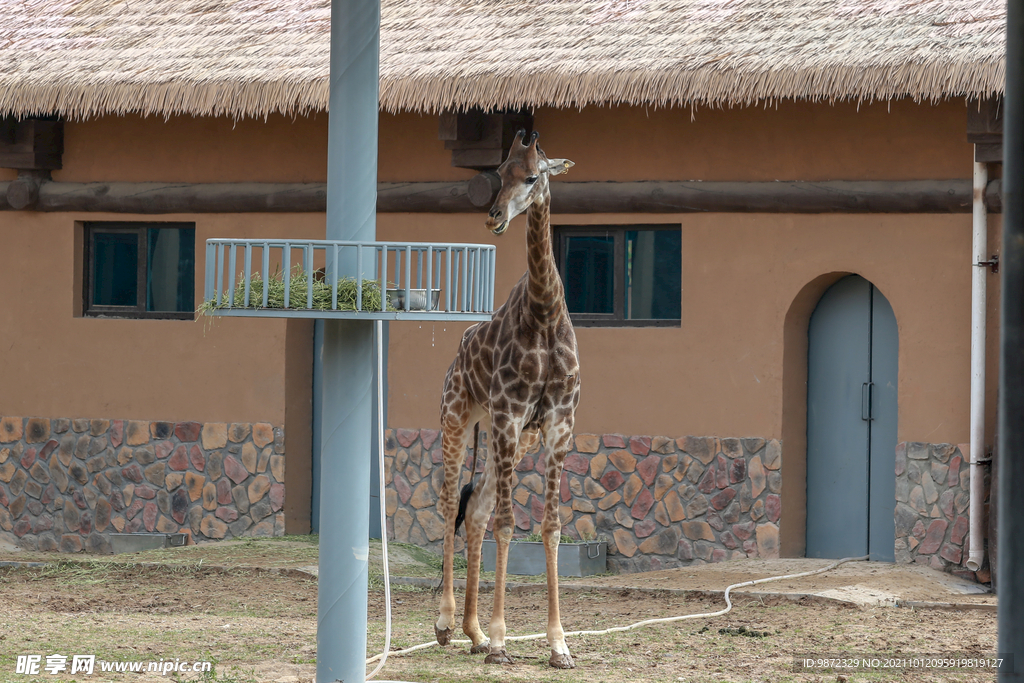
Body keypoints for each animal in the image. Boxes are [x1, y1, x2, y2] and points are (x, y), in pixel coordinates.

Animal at [432, 127, 581, 667]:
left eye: (534, 176)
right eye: (498, 173)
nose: (494, 216)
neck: (544, 314)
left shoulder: (557, 424)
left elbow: (550, 526)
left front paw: (558, 644)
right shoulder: (510, 414)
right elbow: (507, 523)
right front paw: (501, 640)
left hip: (505, 439)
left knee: (474, 511)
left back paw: (472, 633)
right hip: (460, 418)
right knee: (451, 501)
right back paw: (447, 625)